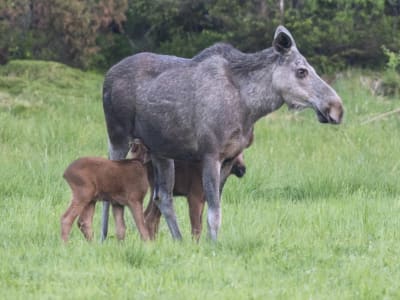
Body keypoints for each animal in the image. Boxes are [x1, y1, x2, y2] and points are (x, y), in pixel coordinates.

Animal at [101, 25, 342, 241]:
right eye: (301, 71)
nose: (336, 108)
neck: (250, 107)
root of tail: (107, 76)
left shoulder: (229, 158)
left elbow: (214, 210)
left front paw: (210, 242)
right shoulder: (211, 154)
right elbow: (213, 213)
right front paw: (213, 246)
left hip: (160, 150)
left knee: (164, 198)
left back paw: (178, 240)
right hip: (118, 136)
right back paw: (102, 238)